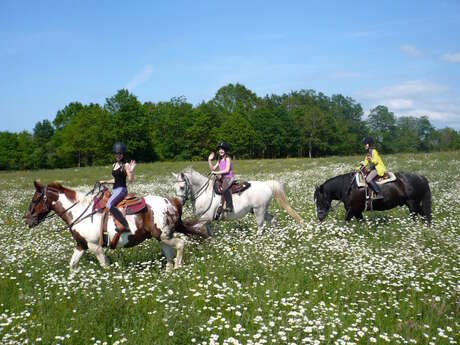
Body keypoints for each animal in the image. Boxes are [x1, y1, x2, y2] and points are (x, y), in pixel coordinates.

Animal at [24, 180, 203, 272]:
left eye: (35, 199)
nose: (27, 220)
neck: (79, 212)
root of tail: (171, 202)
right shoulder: (81, 245)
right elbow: (73, 265)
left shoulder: (95, 246)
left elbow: (105, 266)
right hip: (160, 237)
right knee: (169, 256)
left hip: (164, 235)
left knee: (180, 244)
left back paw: (178, 269)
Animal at [171, 168, 304, 235]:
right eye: (174, 187)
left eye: (182, 187)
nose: (178, 203)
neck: (205, 193)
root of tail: (267, 184)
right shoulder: (206, 221)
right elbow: (209, 234)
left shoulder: (205, 218)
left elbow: (194, 228)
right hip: (259, 210)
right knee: (272, 219)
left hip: (259, 211)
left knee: (261, 226)